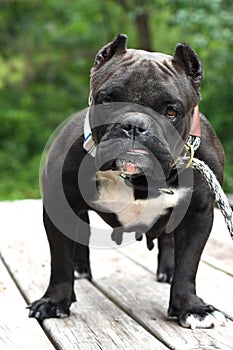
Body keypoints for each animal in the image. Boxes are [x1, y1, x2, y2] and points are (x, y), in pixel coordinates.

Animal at [27, 33, 226, 328]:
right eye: (107, 100)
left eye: (171, 111)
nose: (134, 125)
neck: (137, 177)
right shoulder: (59, 206)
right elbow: (60, 260)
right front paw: (54, 301)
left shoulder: (197, 214)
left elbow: (188, 264)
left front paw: (191, 307)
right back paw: (80, 269)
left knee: (169, 240)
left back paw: (167, 269)